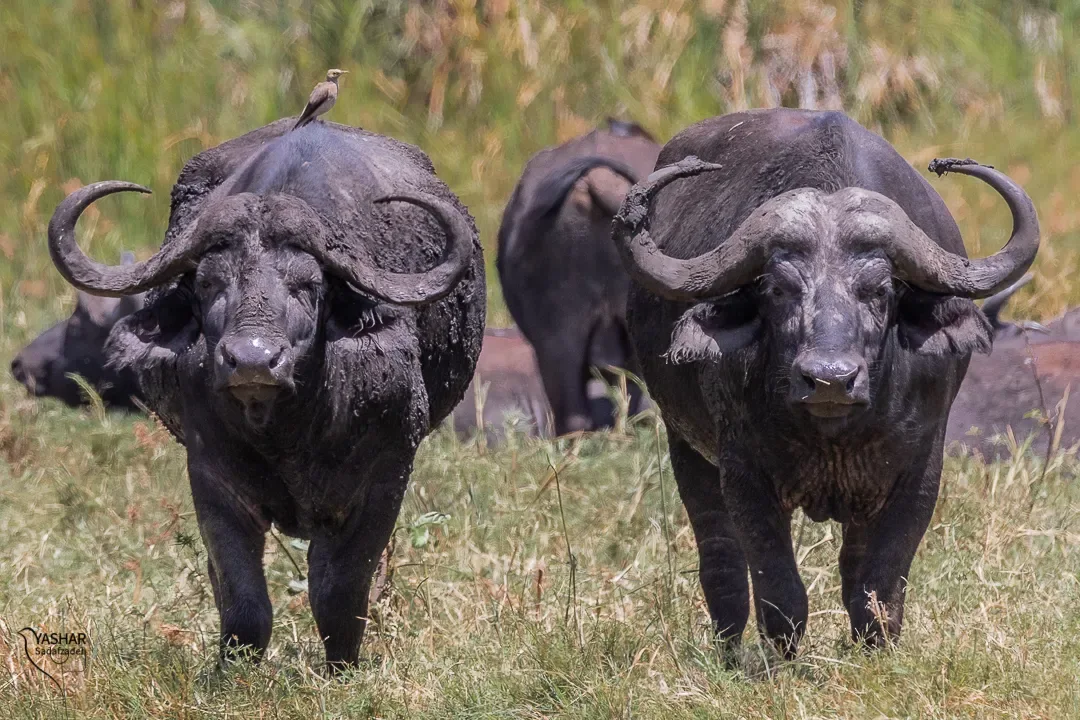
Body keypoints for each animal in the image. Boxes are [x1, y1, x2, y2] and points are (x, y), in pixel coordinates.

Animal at [46, 119, 485, 670]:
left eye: (308, 285)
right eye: (209, 283)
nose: (252, 360)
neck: (284, 430)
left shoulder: (387, 472)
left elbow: (340, 588)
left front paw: (342, 667)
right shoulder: (211, 475)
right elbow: (242, 596)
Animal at [614, 109, 1038, 657]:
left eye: (879, 291)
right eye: (778, 289)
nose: (830, 380)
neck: (834, 437)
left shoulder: (919, 471)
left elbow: (880, 582)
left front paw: (875, 652)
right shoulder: (743, 475)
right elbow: (779, 588)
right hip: (685, 445)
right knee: (720, 558)